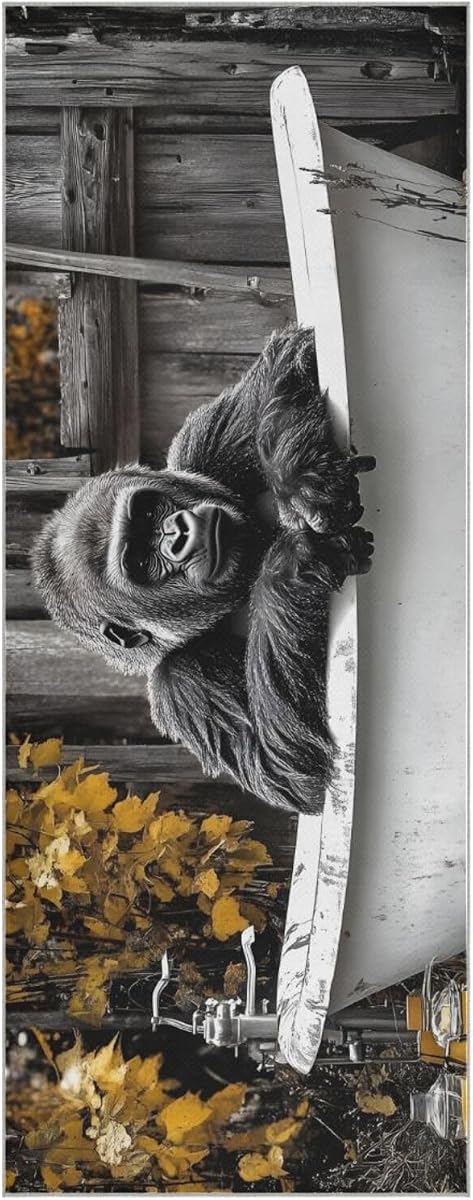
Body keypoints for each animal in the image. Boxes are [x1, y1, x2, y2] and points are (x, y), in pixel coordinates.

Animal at [33, 326, 375, 814]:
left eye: (149, 512)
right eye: (140, 561)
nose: (178, 532)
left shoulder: (197, 460)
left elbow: (289, 356)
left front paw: (304, 476)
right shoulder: (183, 685)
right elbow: (291, 769)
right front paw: (293, 564)